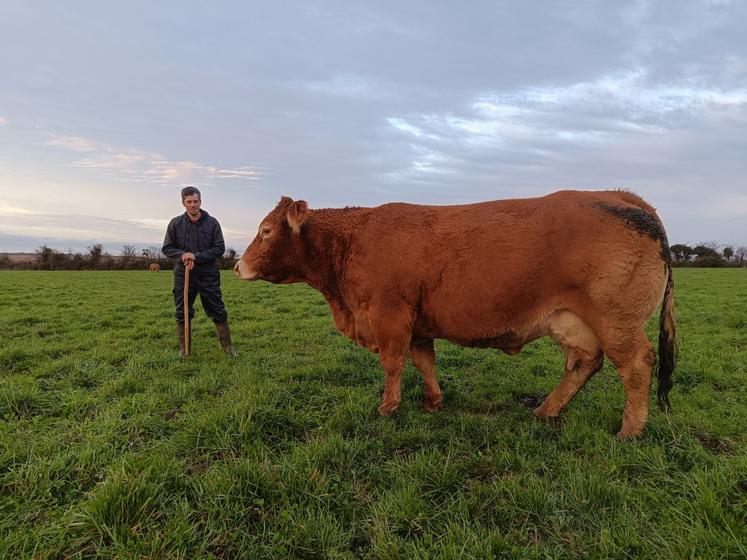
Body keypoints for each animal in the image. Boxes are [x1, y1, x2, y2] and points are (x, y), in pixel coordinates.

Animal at [235, 192, 676, 438]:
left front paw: (388, 408)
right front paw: (433, 402)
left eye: (267, 231)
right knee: (584, 362)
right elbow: (424, 363)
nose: (238, 266)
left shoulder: (390, 315)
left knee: (637, 364)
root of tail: (622, 196)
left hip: (615, 319)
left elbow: (393, 364)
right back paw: (546, 410)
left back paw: (630, 430)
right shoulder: (418, 325)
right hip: (572, 319)